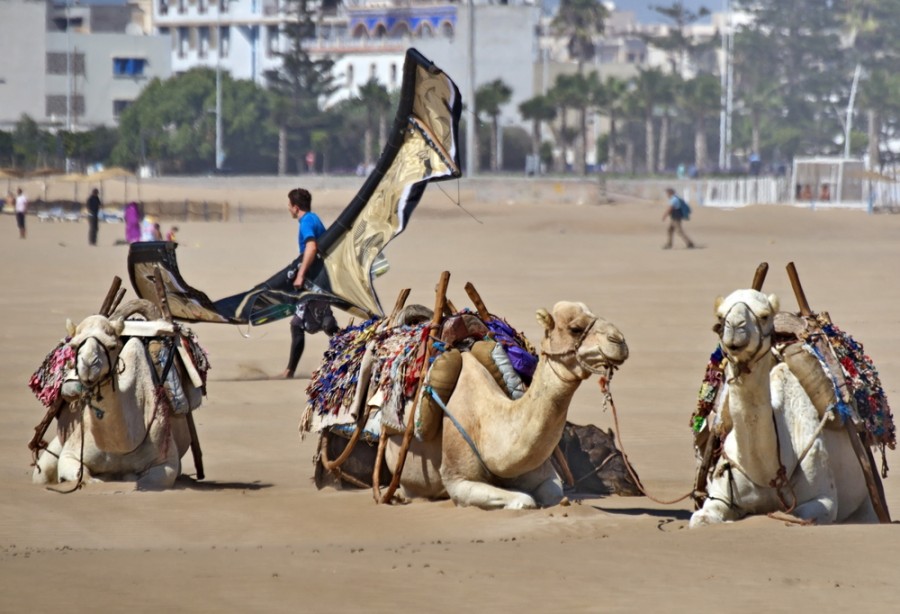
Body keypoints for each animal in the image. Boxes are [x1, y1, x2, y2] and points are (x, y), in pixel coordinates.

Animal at [32, 300, 203, 494]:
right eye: (74, 346)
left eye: (113, 346)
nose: (89, 365)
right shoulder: (71, 454)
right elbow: (84, 478)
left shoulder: (167, 463)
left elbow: (144, 481)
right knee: (41, 473)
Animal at [320, 302, 628, 510]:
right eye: (575, 328)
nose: (620, 341)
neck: (488, 422)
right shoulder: (457, 480)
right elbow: (524, 501)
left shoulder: (544, 473)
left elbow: (555, 495)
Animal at [688, 292, 880, 528]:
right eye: (721, 315)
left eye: (764, 315)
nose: (735, 327)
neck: (766, 472)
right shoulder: (719, 496)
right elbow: (700, 519)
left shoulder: (823, 500)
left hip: (865, 499)